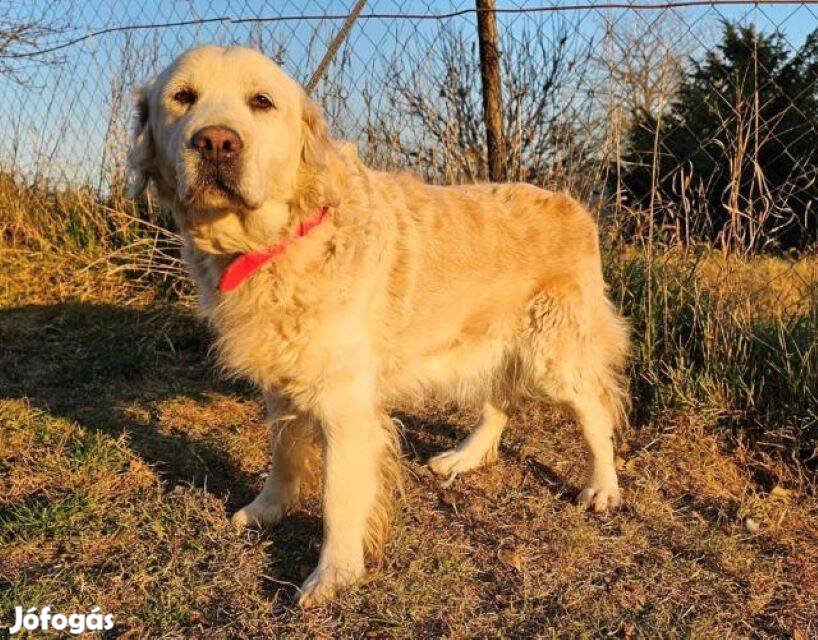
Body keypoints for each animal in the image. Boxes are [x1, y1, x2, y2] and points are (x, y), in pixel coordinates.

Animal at [127, 46, 628, 608]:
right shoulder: (282, 383)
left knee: (595, 409)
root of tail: (575, 206)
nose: (215, 142)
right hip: (485, 343)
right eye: (183, 97)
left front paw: (333, 573)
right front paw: (267, 508)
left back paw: (603, 486)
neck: (283, 241)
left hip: (552, 353)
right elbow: (283, 456)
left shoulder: (345, 402)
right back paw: (464, 457)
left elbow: (339, 496)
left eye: (261, 101)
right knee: (499, 401)